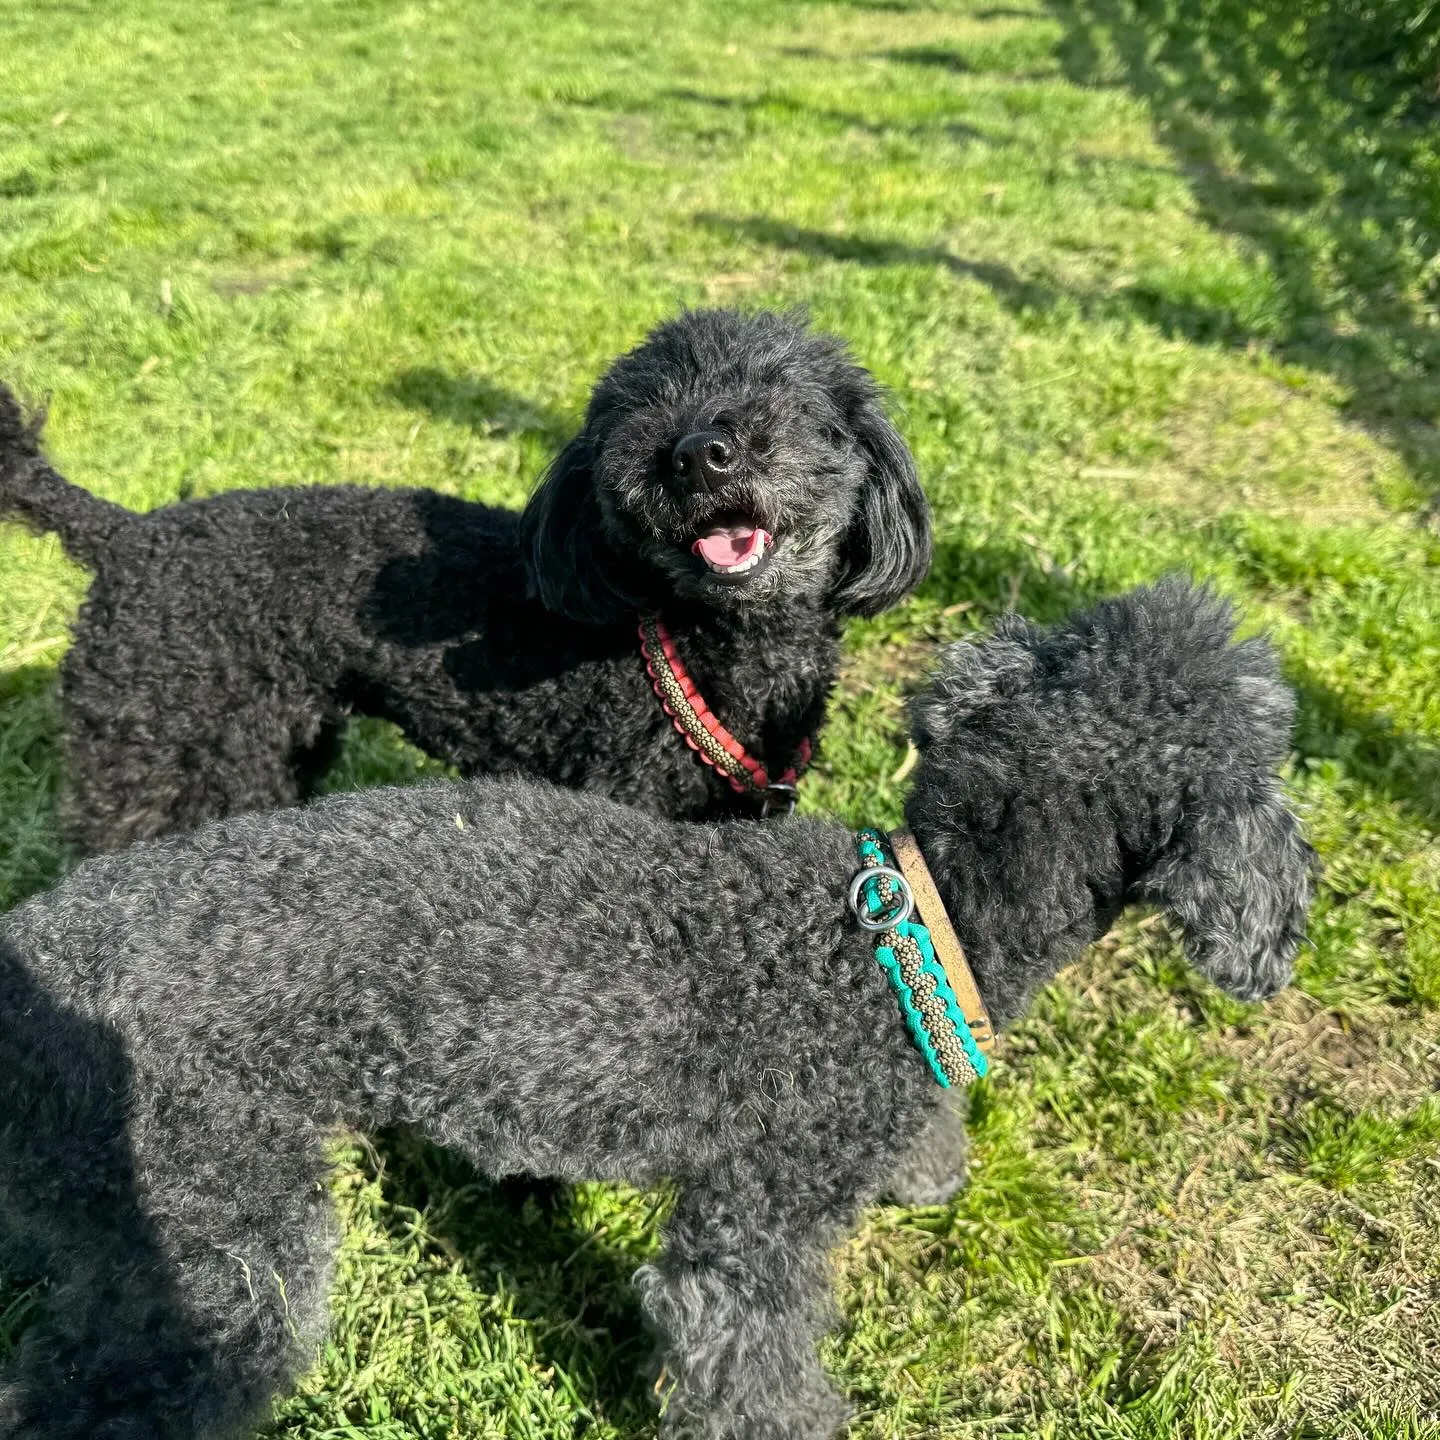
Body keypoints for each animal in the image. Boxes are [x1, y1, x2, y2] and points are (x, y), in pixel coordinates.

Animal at [0, 309, 921, 852]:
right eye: (637, 412)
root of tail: (126, 535)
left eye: (786, 397)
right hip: (161, 752)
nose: (698, 455)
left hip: (276, 741)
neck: (715, 641)